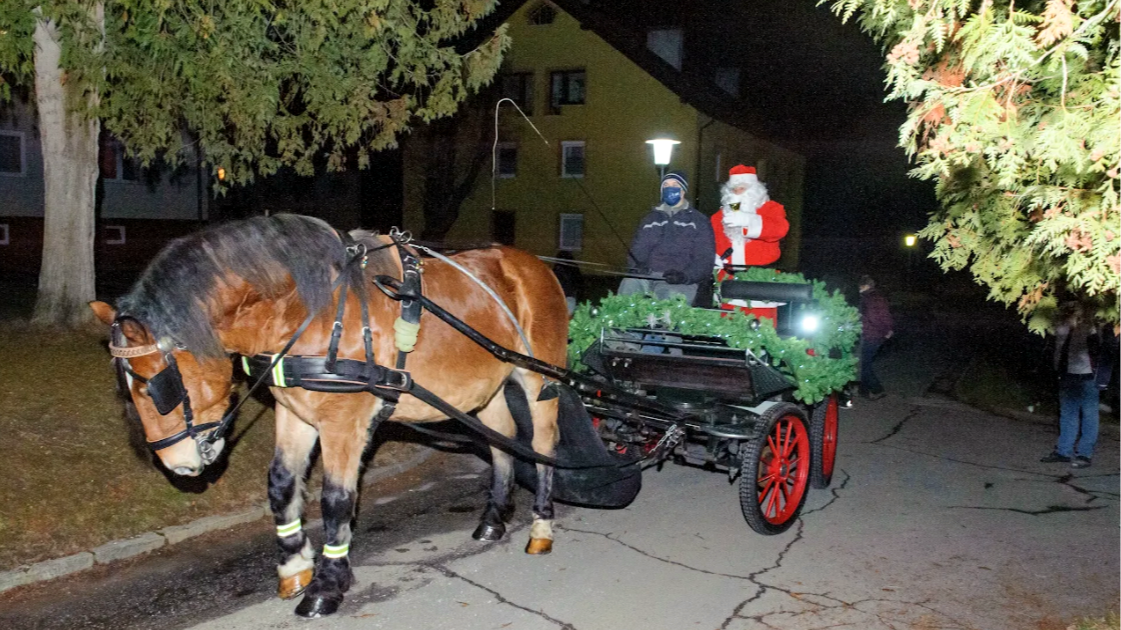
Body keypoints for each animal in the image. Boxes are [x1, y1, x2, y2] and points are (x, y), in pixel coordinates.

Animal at [89, 212, 569, 614]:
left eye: (152, 386)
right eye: (127, 387)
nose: (178, 465)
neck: (306, 310)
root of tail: (534, 265)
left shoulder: (345, 422)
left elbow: (336, 499)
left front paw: (327, 584)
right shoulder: (295, 412)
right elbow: (281, 485)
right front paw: (294, 566)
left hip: (539, 377)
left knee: (543, 443)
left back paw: (541, 527)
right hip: (486, 389)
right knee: (501, 441)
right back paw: (493, 518)